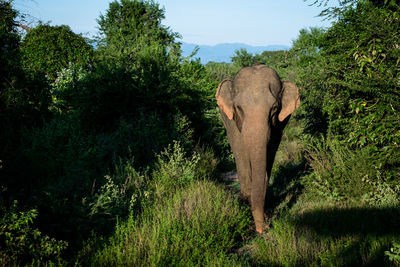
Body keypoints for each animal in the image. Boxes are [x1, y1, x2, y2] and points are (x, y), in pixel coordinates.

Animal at [216, 65, 300, 234]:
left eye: (274, 108)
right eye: (238, 108)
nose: (262, 230)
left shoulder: (278, 126)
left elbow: (270, 152)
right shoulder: (233, 122)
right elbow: (241, 151)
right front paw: (246, 204)